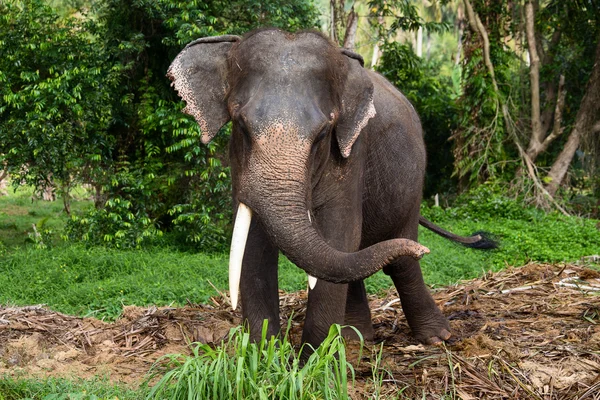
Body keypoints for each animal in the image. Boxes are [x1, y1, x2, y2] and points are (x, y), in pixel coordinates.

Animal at [166, 28, 494, 350]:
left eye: (324, 133)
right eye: (242, 126)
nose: (425, 250)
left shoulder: (352, 151)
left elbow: (340, 231)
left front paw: (311, 361)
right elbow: (253, 246)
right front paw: (264, 357)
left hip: (413, 186)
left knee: (399, 262)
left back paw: (437, 337)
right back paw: (354, 338)